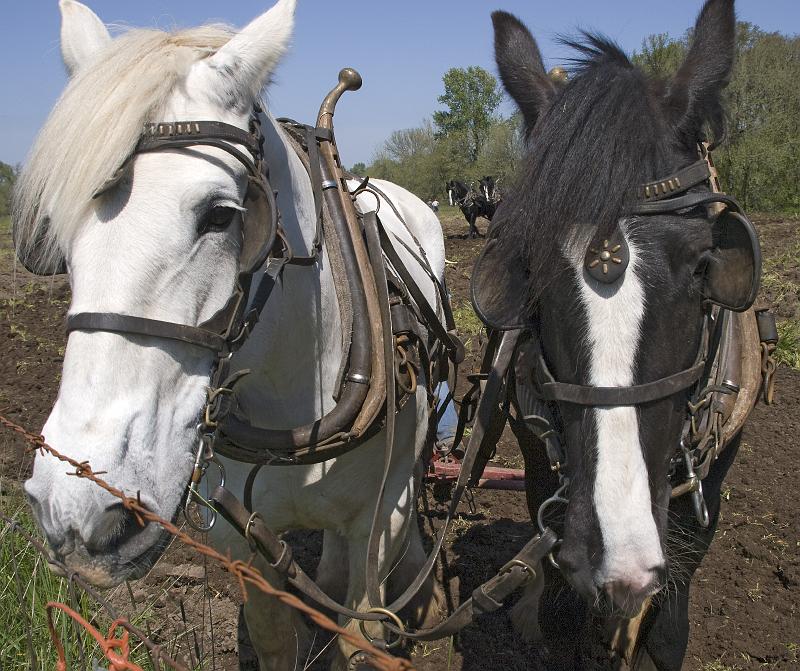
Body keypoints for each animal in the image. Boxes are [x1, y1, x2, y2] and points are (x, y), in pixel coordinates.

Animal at [15, 2, 444, 668]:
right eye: (55, 227)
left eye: (221, 215)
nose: (80, 514)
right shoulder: (242, 544)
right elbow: (274, 639)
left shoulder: (381, 522)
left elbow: (363, 634)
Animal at [476, 2, 764, 668]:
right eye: (526, 266)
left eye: (704, 265)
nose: (617, 552)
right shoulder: (547, 473)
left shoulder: (705, 489)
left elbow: (667, 626)